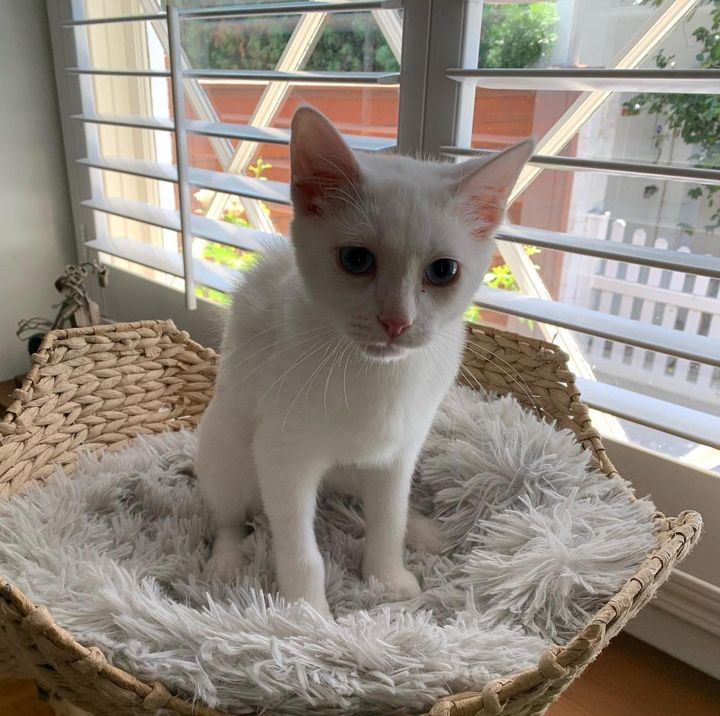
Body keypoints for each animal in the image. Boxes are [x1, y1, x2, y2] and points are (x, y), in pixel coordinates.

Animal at [194, 107, 532, 616]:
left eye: (443, 271)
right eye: (356, 259)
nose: (396, 322)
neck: (376, 376)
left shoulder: (398, 452)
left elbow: (387, 519)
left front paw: (387, 577)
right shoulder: (281, 456)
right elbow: (302, 549)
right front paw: (307, 613)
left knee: (372, 497)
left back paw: (422, 528)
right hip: (228, 450)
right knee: (227, 516)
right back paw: (227, 560)